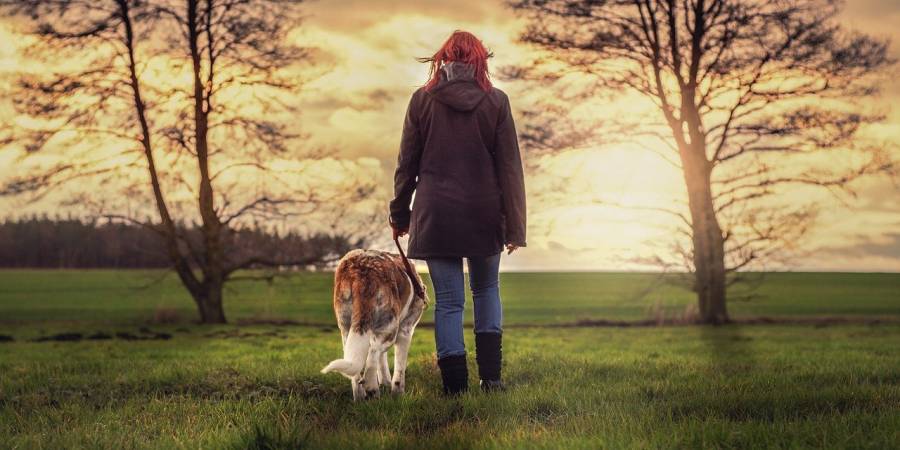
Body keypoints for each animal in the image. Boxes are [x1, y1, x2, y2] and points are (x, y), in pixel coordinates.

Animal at [320, 250, 426, 400]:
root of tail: (360, 272)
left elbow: (382, 362)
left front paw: (385, 382)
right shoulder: (406, 331)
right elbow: (399, 368)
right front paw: (398, 393)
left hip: (346, 329)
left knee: (357, 369)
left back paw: (360, 397)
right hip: (390, 328)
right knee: (372, 354)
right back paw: (372, 389)